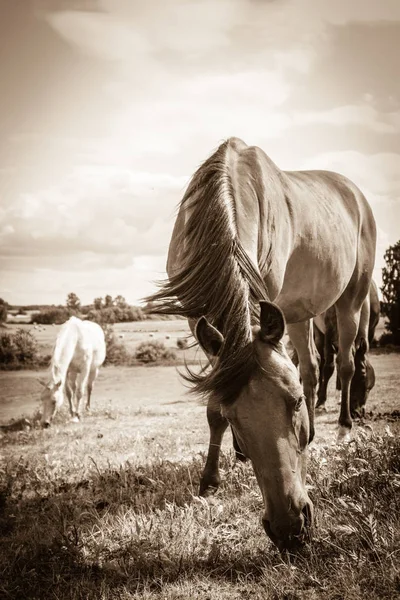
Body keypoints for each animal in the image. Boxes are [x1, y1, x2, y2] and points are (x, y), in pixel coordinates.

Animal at [314, 280, 380, 418]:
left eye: (366, 385)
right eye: (361, 377)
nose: (357, 412)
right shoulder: (328, 331)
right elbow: (328, 368)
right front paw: (321, 401)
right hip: (318, 334)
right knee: (321, 363)